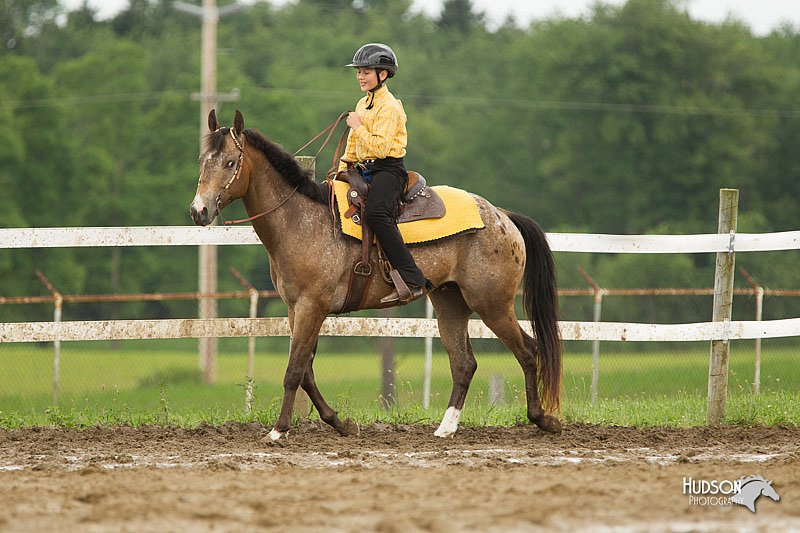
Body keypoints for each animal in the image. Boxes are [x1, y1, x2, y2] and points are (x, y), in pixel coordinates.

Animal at [189, 109, 564, 440]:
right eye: (203, 160)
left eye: (230, 163)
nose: (198, 211)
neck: (300, 220)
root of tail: (502, 216)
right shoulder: (296, 308)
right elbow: (306, 370)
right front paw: (340, 424)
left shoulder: (312, 307)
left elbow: (295, 370)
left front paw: (279, 430)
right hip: (450, 304)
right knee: (464, 364)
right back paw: (445, 428)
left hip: (492, 305)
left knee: (528, 351)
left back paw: (542, 419)